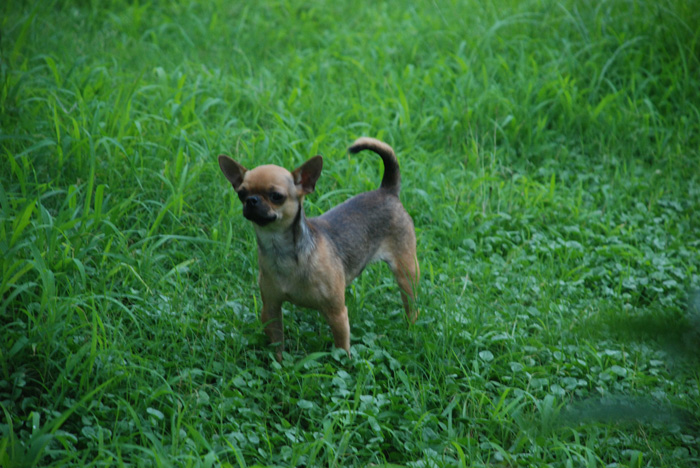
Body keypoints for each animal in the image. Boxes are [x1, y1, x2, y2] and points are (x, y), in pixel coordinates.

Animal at [217, 137, 416, 360]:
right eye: (241, 193)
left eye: (276, 196)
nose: (251, 200)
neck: (281, 250)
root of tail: (386, 190)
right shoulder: (271, 309)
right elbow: (278, 345)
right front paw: (278, 362)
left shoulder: (337, 314)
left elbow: (342, 349)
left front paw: (343, 363)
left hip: (406, 273)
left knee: (412, 307)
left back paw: (411, 330)